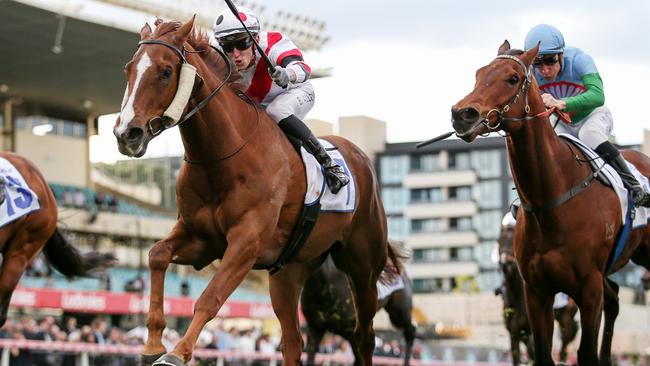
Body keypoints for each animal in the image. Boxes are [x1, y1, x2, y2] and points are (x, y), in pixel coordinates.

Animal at [111, 17, 390, 366]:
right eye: (128, 69)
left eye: (165, 71)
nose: (127, 134)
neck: (222, 156)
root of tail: (361, 158)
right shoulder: (202, 239)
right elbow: (156, 255)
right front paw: (152, 343)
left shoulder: (247, 241)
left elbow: (210, 297)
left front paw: (177, 352)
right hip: (289, 271)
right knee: (293, 341)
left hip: (363, 267)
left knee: (364, 337)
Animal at [496, 223, 576, 364]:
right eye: (500, 241)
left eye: (512, 241)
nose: (507, 265)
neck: (517, 298)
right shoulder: (514, 334)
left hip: (566, 315)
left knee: (566, 336)